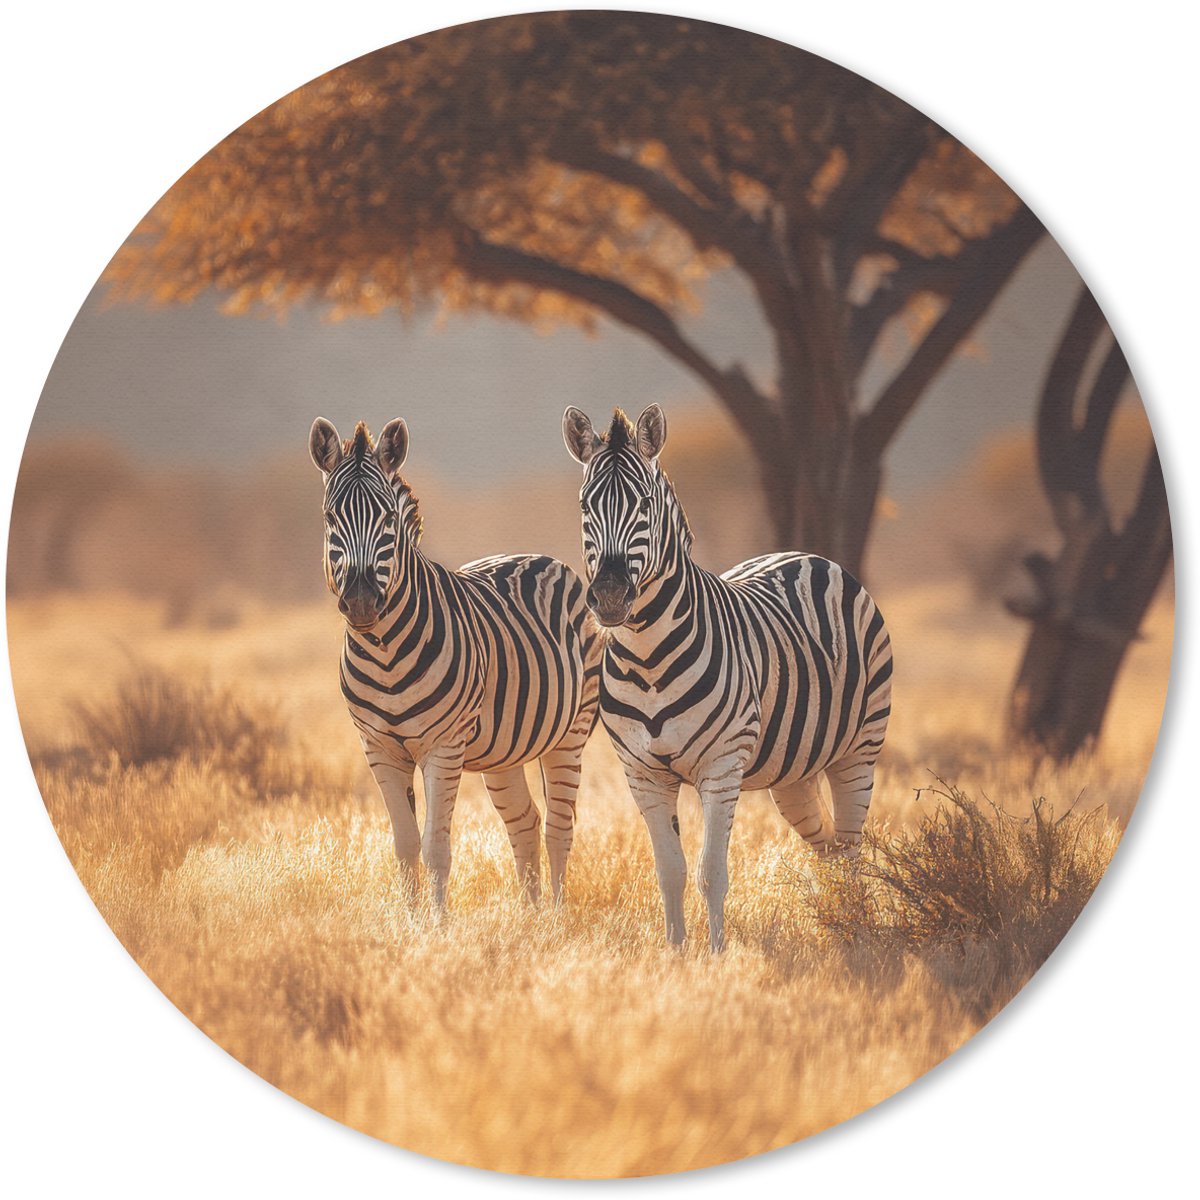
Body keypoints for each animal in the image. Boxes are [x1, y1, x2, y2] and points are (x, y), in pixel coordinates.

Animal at [310, 417, 601, 906]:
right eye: (331, 517)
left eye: (388, 518)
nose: (362, 601)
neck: (384, 653)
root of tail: (539, 556)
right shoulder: (378, 748)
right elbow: (405, 846)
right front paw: (409, 921)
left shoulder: (442, 747)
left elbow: (435, 849)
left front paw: (437, 923)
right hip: (505, 750)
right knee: (525, 822)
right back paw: (530, 916)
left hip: (571, 732)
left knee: (560, 829)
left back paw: (556, 918)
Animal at [562, 404, 893, 951]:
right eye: (585, 505)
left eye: (645, 505)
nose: (609, 596)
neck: (648, 659)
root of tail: (806, 554)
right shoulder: (643, 774)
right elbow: (670, 871)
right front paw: (676, 952)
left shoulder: (721, 767)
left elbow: (710, 872)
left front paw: (717, 955)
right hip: (793, 771)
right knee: (825, 845)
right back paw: (834, 922)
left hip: (859, 749)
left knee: (849, 849)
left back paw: (858, 932)